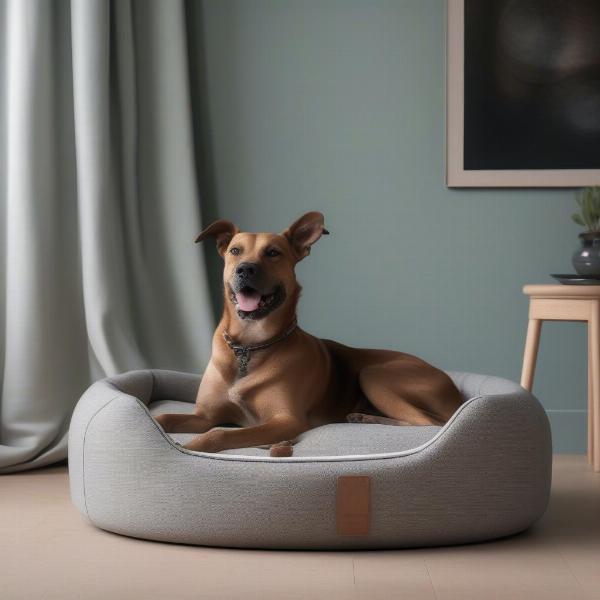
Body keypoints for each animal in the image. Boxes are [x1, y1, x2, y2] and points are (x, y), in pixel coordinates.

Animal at [156, 211, 464, 454]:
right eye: (235, 251)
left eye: (273, 252)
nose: (245, 269)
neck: (249, 346)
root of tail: (454, 391)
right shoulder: (204, 415)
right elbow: (162, 418)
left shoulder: (285, 420)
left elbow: (218, 433)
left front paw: (190, 446)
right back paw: (363, 417)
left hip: (374, 375)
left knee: (430, 424)